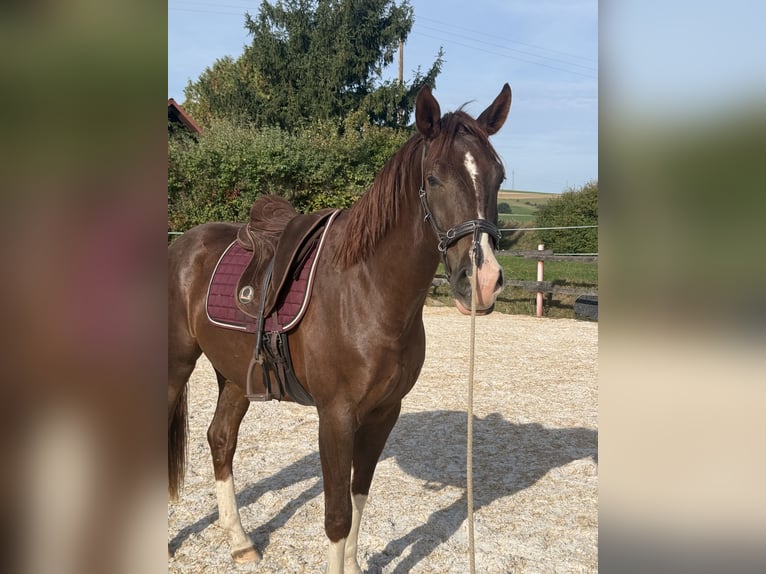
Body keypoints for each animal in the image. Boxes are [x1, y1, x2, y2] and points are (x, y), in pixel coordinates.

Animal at [168, 83, 512, 573]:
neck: (368, 291)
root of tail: (182, 246)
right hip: (175, 366)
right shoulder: (335, 416)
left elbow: (358, 500)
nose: (482, 281)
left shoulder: (384, 414)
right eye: (433, 179)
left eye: (499, 176)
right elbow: (336, 516)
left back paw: (240, 541)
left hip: (234, 376)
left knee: (221, 439)